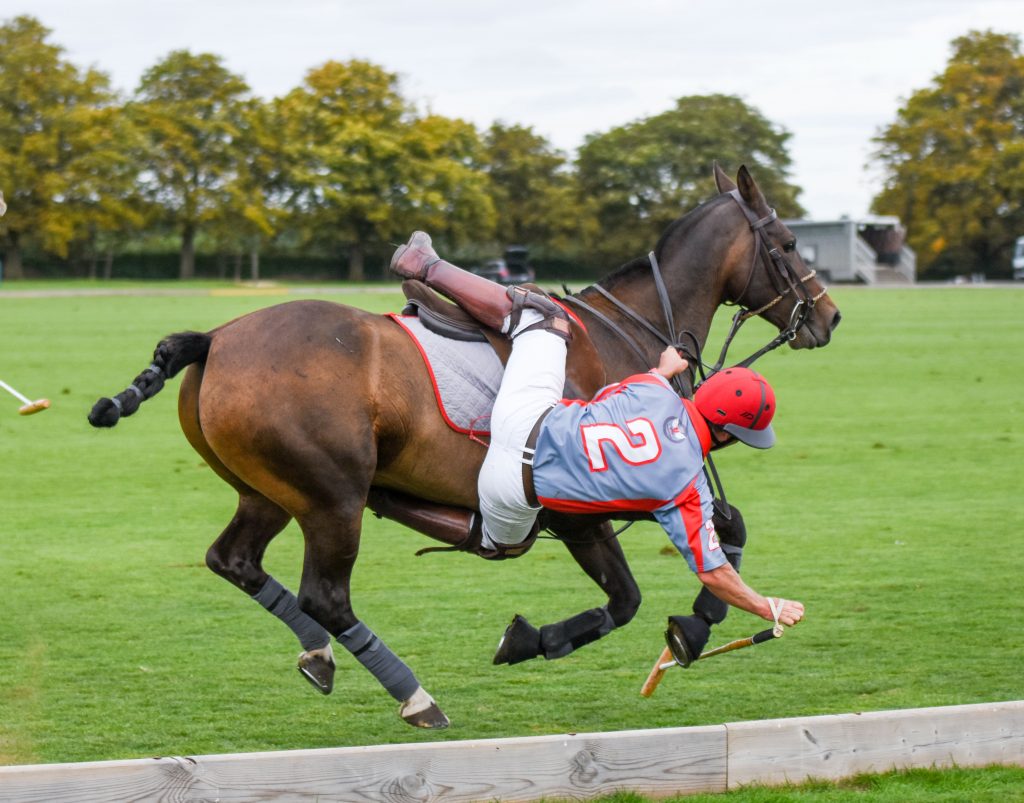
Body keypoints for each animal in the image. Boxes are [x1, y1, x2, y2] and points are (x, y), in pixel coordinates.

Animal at [88, 164, 839, 729]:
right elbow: (629, 595)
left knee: (234, 560)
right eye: (788, 243)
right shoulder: (579, 511)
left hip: (269, 490)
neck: (626, 329)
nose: (829, 317)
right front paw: (543, 639)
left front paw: (698, 622)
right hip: (332, 497)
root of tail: (215, 337)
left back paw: (318, 656)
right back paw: (415, 696)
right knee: (325, 595)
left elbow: (725, 527)